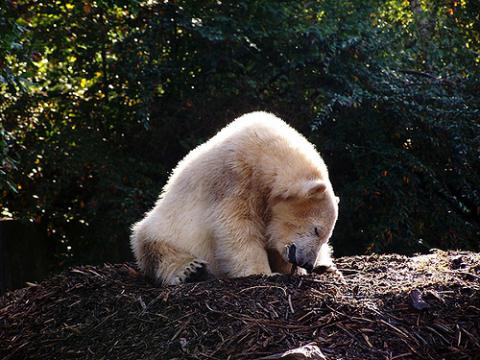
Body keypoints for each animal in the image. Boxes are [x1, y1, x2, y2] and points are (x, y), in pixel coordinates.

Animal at [131, 111, 340, 286]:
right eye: (316, 230)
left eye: (326, 235)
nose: (307, 263)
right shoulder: (234, 181)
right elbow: (237, 227)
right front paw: (263, 272)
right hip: (164, 227)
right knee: (154, 246)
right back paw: (190, 269)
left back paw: (325, 264)